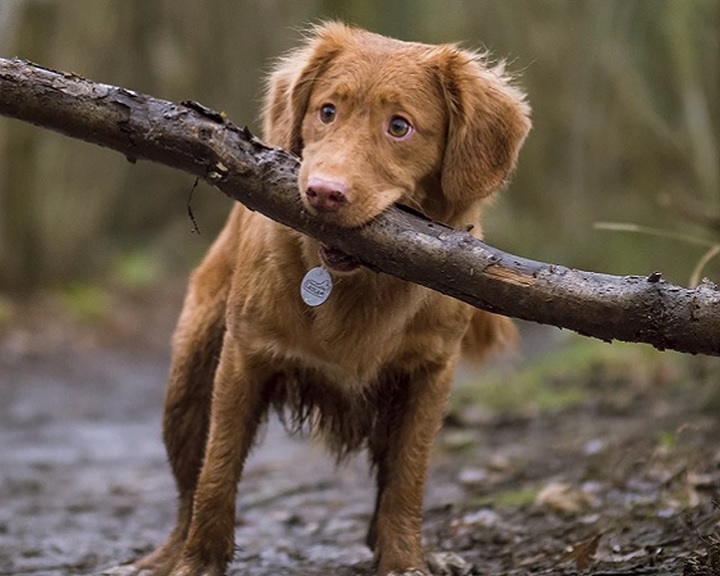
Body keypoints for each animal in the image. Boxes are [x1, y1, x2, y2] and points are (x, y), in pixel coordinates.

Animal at [134, 22, 528, 576]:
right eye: (327, 111)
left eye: (400, 127)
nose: (323, 192)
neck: (357, 284)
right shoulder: (243, 357)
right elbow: (217, 472)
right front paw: (197, 564)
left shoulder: (430, 373)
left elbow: (407, 479)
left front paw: (405, 560)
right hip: (188, 379)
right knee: (188, 488)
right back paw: (165, 556)